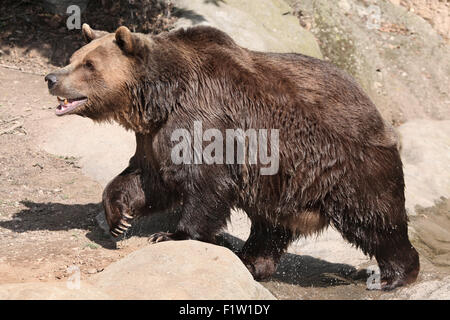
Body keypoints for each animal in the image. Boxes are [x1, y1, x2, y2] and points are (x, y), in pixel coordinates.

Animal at [44, 23, 418, 290]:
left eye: (89, 64)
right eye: (75, 56)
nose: (51, 78)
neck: (160, 99)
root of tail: (372, 105)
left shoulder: (207, 121)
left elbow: (205, 185)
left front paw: (172, 234)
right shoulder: (155, 135)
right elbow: (147, 179)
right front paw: (118, 217)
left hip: (347, 165)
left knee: (375, 218)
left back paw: (395, 275)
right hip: (281, 182)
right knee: (270, 226)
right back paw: (251, 261)